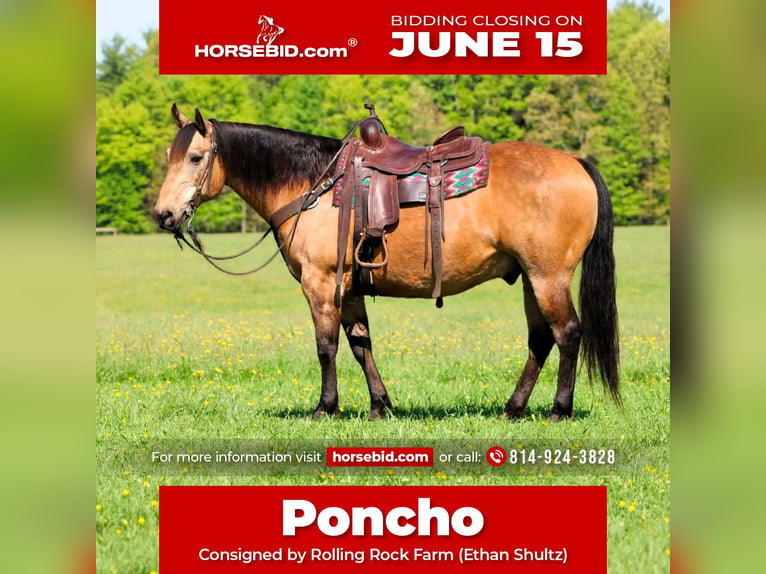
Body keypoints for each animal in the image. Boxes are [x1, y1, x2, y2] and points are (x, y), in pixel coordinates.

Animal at [154, 104, 620, 421]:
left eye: (195, 157)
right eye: (169, 157)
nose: (164, 215)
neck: (313, 186)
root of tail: (575, 162)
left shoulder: (320, 283)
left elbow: (326, 346)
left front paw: (326, 406)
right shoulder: (349, 287)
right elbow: (361, 345)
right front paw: (380, 405)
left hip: (548, 277)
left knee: (568, 333)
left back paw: (559, 408)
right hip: (528, 278)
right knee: (540, 339)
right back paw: (514, 406)